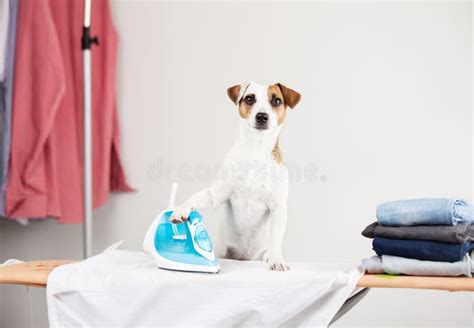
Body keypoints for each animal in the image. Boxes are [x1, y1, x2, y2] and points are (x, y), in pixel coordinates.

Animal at [171, 80, 300, 270]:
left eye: (276, 100)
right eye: (249, 98)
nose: (262, 116)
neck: (255, 150)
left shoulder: (278, 206)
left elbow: (276, 238)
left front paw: (276, 259)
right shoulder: (217, 194)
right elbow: (196, 197)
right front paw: (182, 209)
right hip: (222, 251)